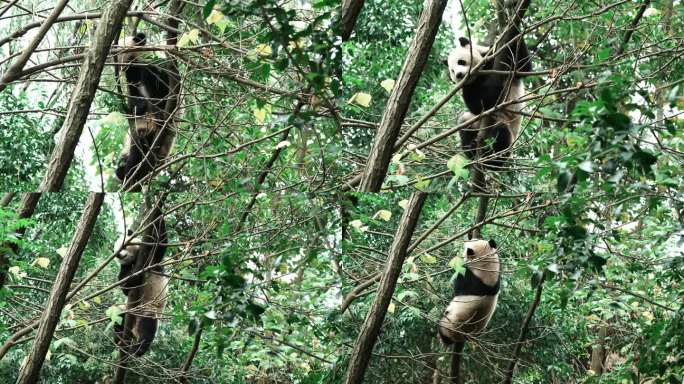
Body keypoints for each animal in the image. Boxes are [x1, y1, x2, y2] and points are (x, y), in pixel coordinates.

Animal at [113, 216, 169, 356]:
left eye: (125, 245)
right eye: (116, 252)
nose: (120, 255)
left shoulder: (153, 259)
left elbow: (161, 241)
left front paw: (158, 212)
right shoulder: (125, 267)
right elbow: (125, 286)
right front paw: (134, 275)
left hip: (148, 308)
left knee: (147, 326)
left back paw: (138, 348)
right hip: (128, 311)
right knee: (119, 315)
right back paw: (119, 336)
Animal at [448, 26, 536, 169]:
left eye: (460, 62)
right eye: (452, 71)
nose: (459, 75)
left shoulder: (497, 59)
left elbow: (523, 66)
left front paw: (513, 27)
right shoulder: (471, 85)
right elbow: (476, 106)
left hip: (508, 126)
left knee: (501, 133)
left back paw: (493, 160)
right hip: (476, 124)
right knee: (465, 121)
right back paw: (472, 150)